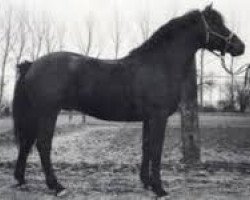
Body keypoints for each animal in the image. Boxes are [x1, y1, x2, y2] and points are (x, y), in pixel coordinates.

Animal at [12, 5, 244, 198]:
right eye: (216, 23)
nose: (240, 46)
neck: (160, 64)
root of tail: (32, 65)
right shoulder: (158, 117)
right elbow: (156, 150)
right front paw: (159, 189)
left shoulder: (148, 118)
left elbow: (146, 146)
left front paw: (147, 182)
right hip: (48, 113)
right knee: (42, 145)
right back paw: (56, 186)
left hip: (35, 114)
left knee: (26, 143)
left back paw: (21, 181)